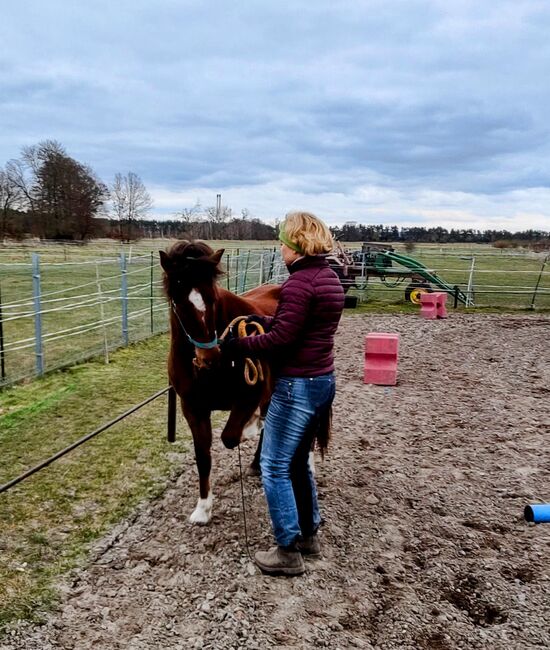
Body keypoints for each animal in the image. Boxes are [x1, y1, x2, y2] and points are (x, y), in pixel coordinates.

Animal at [158, 238, 280, 520]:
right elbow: (203, 455)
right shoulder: (193, 408)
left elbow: (230, 437)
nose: (209, 357)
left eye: (213, 298)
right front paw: (203, 508)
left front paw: (249, 428)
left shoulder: (249, 396)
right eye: (178, 302)